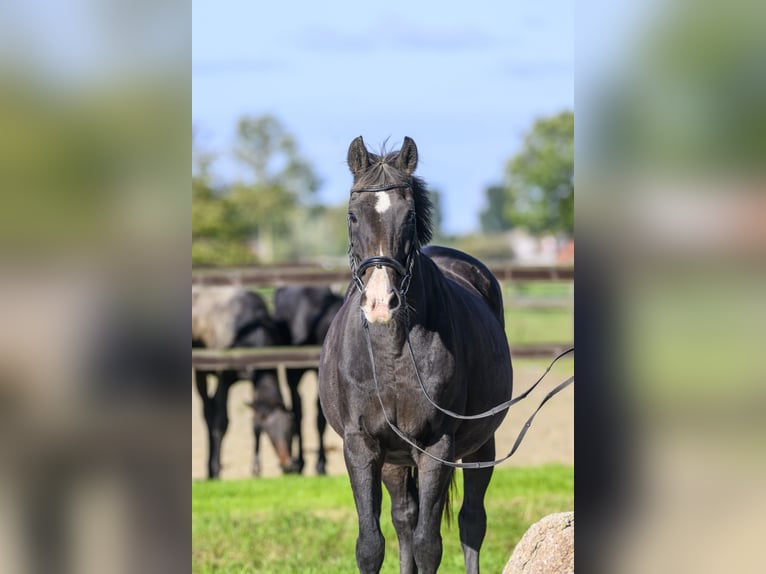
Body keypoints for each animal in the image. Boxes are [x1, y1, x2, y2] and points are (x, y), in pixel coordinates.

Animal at [192, 288, 296, 482]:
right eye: (271, 432)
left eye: (291, 431)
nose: (289, 466)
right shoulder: (223, 376)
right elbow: (221, 422)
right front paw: (216, 469)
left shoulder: (255, 380)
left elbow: (254, 423)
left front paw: (256, 469)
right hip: (201, 371)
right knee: (208, 412)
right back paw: (210, 469)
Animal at [270, 284, 342, 476]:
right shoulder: (295, 374)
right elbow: (301, 415)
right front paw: (305, 463)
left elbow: (320, 420)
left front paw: (321, 464)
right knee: (298, 412)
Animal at [320, 137, 516, 572]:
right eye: (352, 216)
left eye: (408, 217)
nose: (381, 303)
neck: (391, 353)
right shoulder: (362, 446)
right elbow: (372, 544)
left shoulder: (436, 447)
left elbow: (430, 544)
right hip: (396, 460)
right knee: (405, 518)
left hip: (480, 446)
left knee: (471, 522)